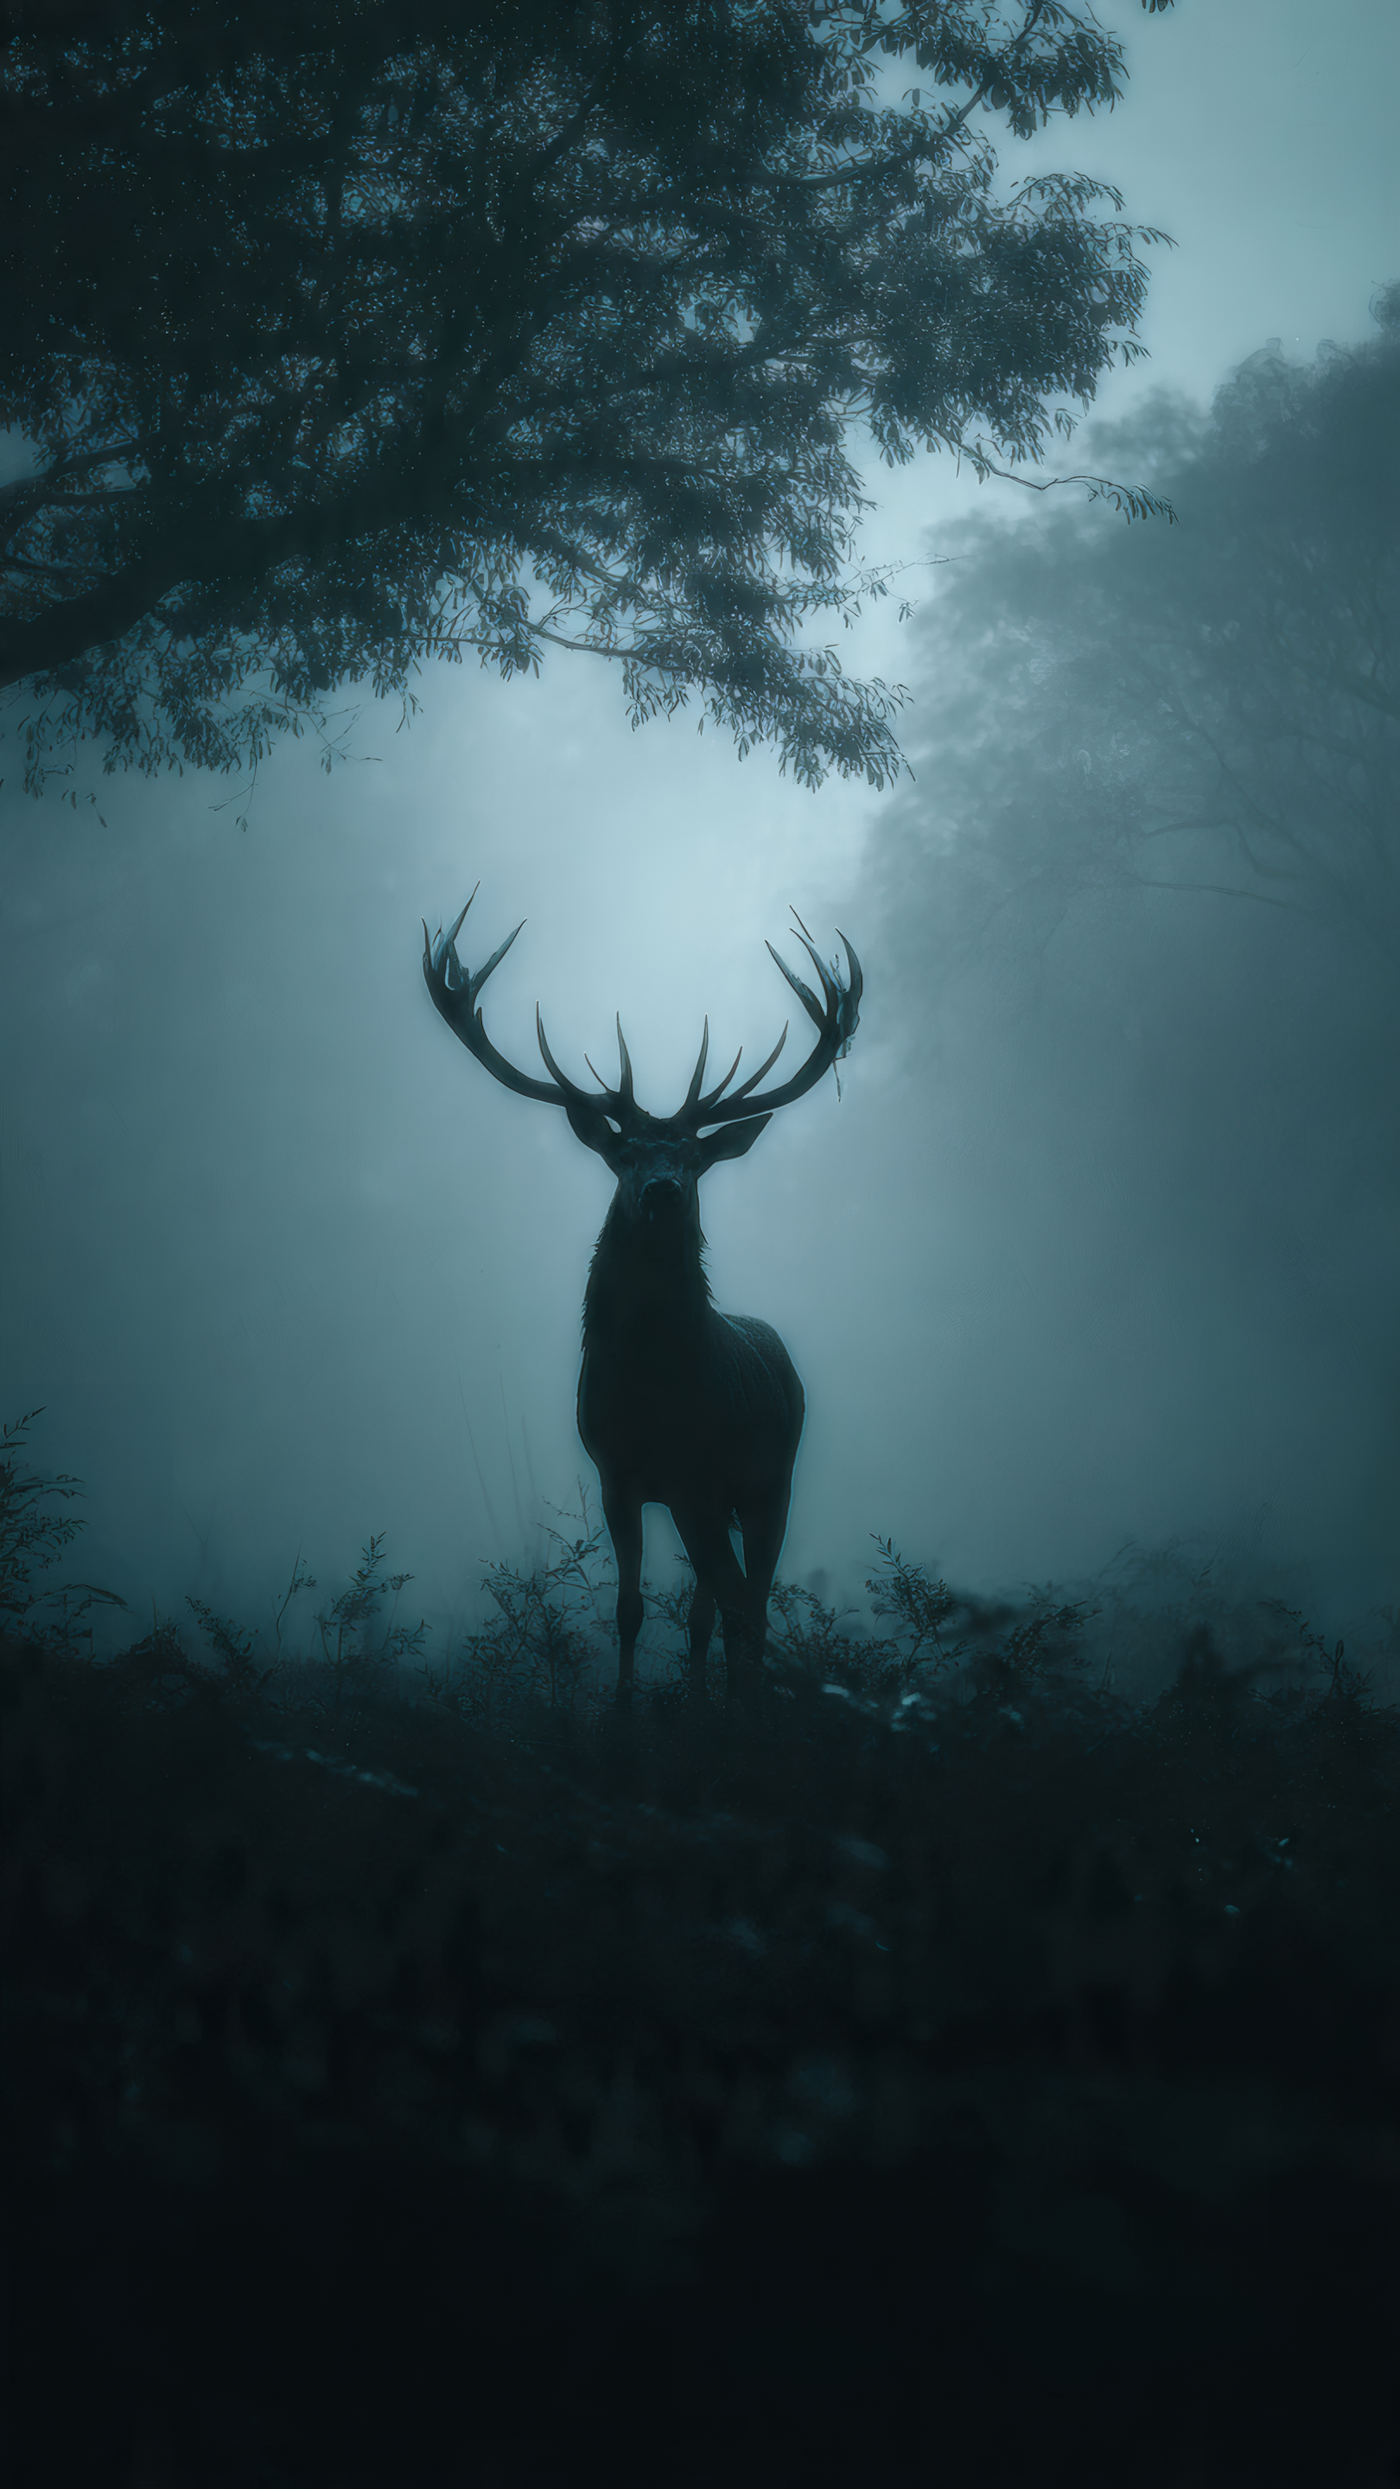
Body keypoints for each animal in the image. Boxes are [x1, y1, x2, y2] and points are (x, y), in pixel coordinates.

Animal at [422, 889, 861, 1706]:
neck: (652, 1390)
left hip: (770, 1479)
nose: (661, 1189)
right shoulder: (617, 1473)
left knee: (746, 1600)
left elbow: (734, 1605)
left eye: (693, 1156)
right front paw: (626, 1716)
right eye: (624, 1151)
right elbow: (631, 1610)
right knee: (712, 1608)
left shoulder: (699, 1476)